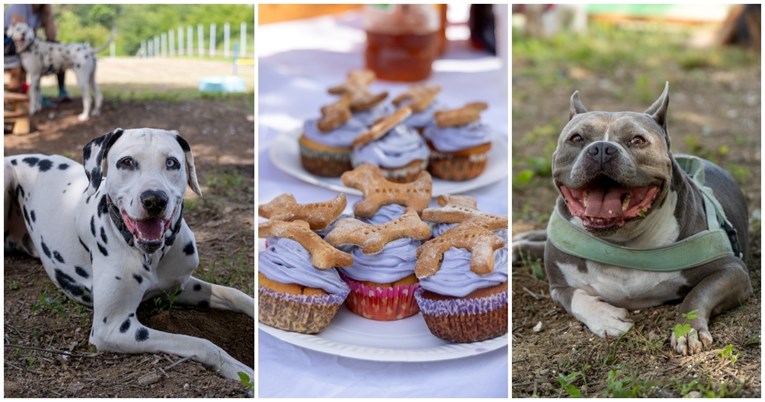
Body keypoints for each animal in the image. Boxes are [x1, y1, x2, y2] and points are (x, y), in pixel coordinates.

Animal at [4, 128, 254, 380]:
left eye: (172, 162)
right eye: (126, 162)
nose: (154, 199)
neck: (151, 255)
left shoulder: (179, 287)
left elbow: (236, 294)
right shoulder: (114, 327)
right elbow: (200, 343)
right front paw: (241, 370)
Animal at [512, 82, 752, 354]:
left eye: (637, 140)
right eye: (577, 138)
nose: (601, 149)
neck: (622, 244)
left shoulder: (732, 270)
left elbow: (697, 294)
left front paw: (687, 330)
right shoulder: (558, 287)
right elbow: (576, 298)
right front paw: (606, 317)